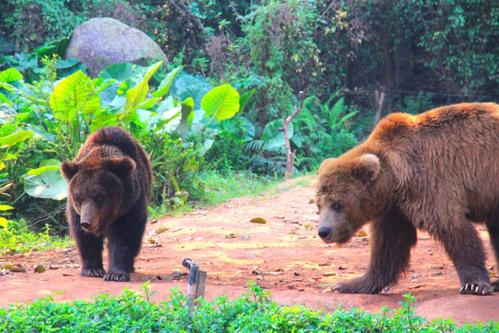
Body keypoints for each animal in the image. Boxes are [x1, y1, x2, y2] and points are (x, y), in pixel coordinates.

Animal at [61, 126, 150, 282]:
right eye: (79, 196)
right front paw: (93, 270)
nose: (87, 222)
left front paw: (116, 274)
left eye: (100, 197)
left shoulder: (129, 207)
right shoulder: (76, 212)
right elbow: (84, 238)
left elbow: (124, 236)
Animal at [316, 102, 499, 294]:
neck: (394, 180)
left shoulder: (429, 184)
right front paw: (350, 283)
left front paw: (474, 284)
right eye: (319, 206)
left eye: (337, 204)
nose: (324, 231)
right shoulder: (395, 209)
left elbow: (454, 229)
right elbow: (388, 246)